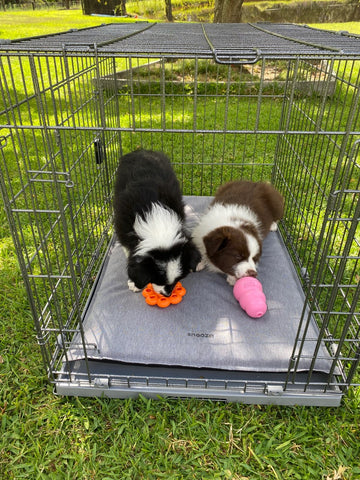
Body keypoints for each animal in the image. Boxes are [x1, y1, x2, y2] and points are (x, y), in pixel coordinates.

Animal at [114, 149, 201, 296]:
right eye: (157, 280)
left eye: (178, 279)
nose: (167, 294)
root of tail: (141, 151)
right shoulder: (122, 225)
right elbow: (129, 250)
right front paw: (134, 283)